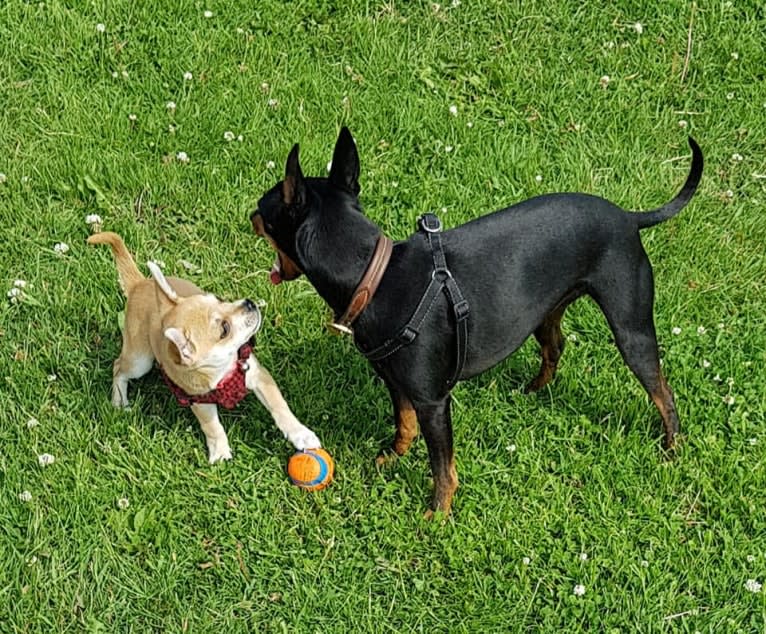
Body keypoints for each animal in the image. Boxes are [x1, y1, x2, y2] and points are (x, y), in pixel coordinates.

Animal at [88, 231, 322, 460]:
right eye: (224, 329)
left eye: (220, 299)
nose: (249, 303)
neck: (223, 370)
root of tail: (139, 285)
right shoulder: (199, 400)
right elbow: (212, 426)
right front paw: (219, 451)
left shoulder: (258, 375)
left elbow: (280, 407)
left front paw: (300, 434)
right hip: (140, 360)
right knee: (118, 367)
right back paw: (119, 401)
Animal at [252, 127, 704, 512]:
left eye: (262, 207)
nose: (247, 213)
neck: (374, 276)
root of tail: (628, 217)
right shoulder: (397, 384)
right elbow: (404, 427)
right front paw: (390, 460)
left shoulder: (433, 402)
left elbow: (442, 467)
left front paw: (437, 513)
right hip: (546, 310)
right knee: (555, 346)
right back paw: (532, 391)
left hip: (631, 329)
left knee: (663, 393)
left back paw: (671, 448)